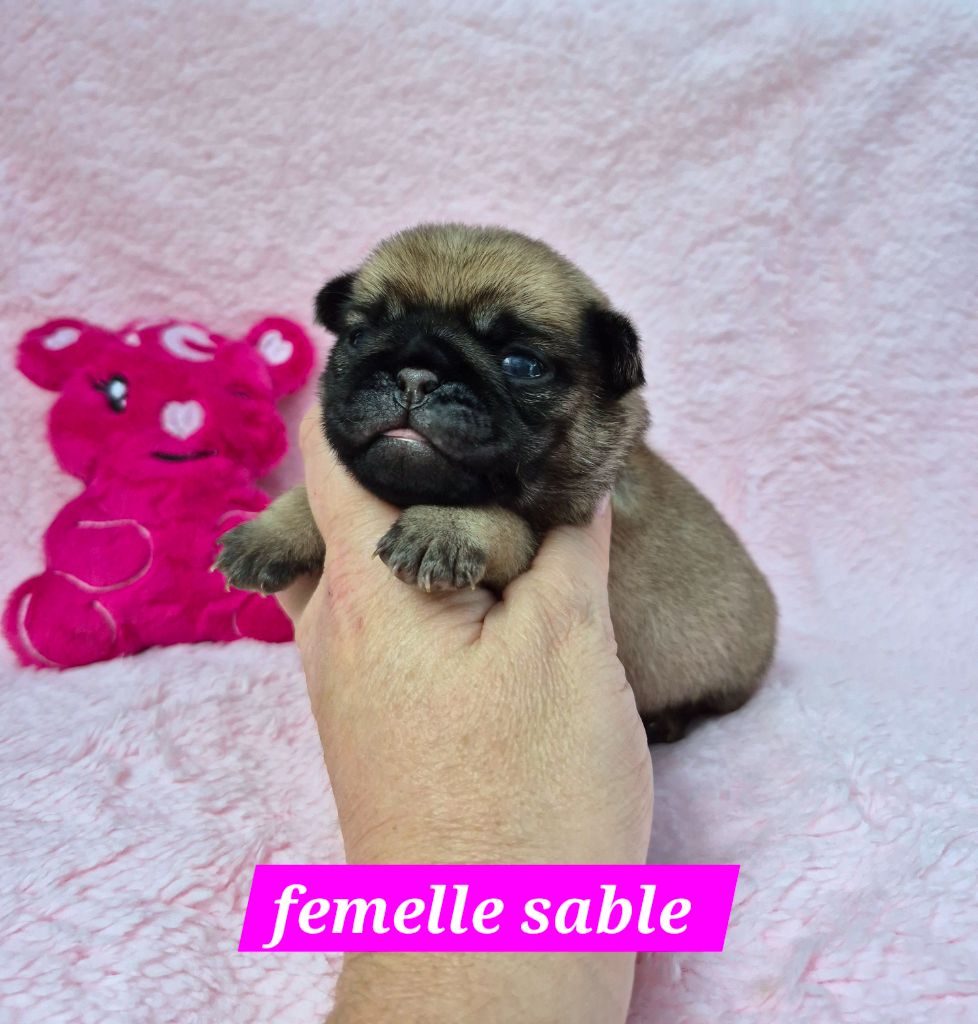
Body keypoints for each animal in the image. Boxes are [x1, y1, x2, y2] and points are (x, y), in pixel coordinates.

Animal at [217, 224, 777, 741]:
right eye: (357, 337)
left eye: (522, 365)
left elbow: (503, 520)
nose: (415, 375)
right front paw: (270, 532)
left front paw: (443, 528)